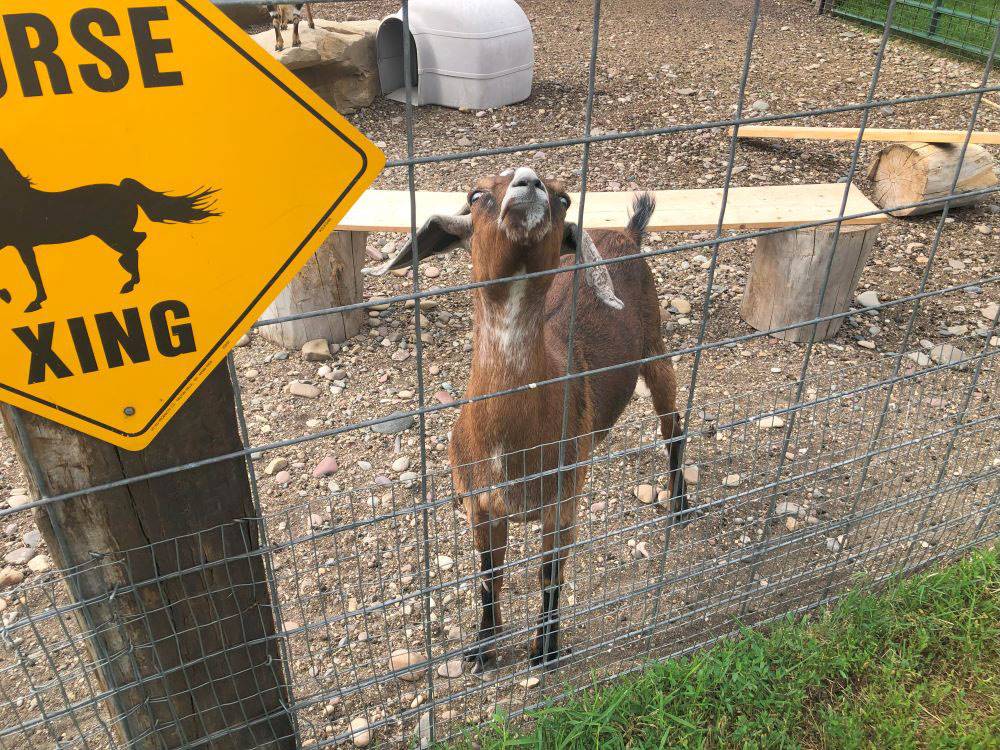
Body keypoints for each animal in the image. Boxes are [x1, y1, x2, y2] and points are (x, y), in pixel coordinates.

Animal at [372, 167, 692, 672]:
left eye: (564, 198)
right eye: (475, 194)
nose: (529, 182)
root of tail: (628, 233)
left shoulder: (563, 502)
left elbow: (549, 575)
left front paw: (545, 648)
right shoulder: (480, 504)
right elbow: (490, 576)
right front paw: (482, 647)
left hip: (655, 346)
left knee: (672, 427)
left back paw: (680, 505)